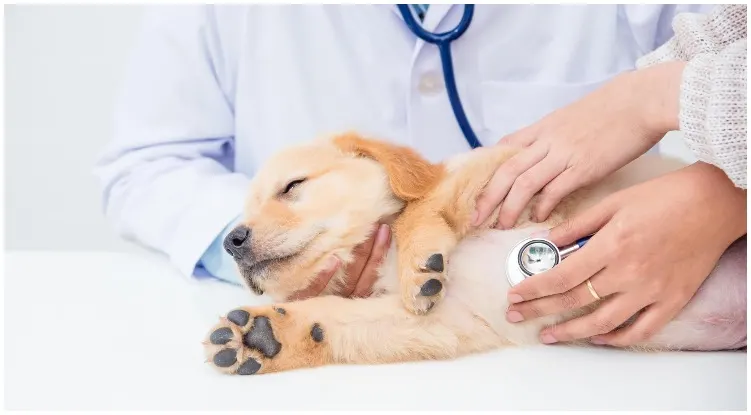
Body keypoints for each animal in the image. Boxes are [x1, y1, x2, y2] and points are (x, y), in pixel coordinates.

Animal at [201, 132, 748, 376]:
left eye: (292, 187)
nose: (231, 240)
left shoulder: (505, 177)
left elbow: (422, 206)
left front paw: (419, 261)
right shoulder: (444, 322)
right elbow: (335, 320)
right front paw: (263, 336)